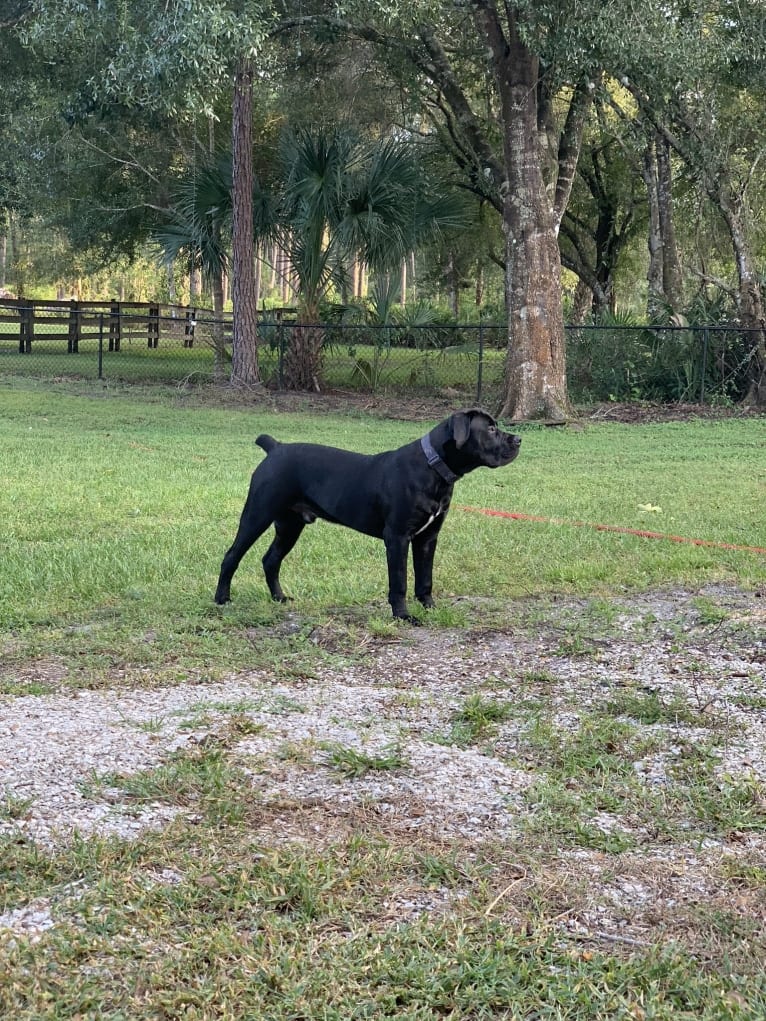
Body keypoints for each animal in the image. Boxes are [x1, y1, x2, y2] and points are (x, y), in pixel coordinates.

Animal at [214, 408, 522, 620]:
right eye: (490, 429)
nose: (518, 439)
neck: (433, 468)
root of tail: (275, 447)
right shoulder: (397, 537)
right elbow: (399, 580)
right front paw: (403, 616)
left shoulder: (428, 538)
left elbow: (425, 578)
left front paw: (430, 608)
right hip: (257, 514)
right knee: (232, 556)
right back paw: (221, 599)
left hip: (290, 525)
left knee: (270, 560)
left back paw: (279, 598)